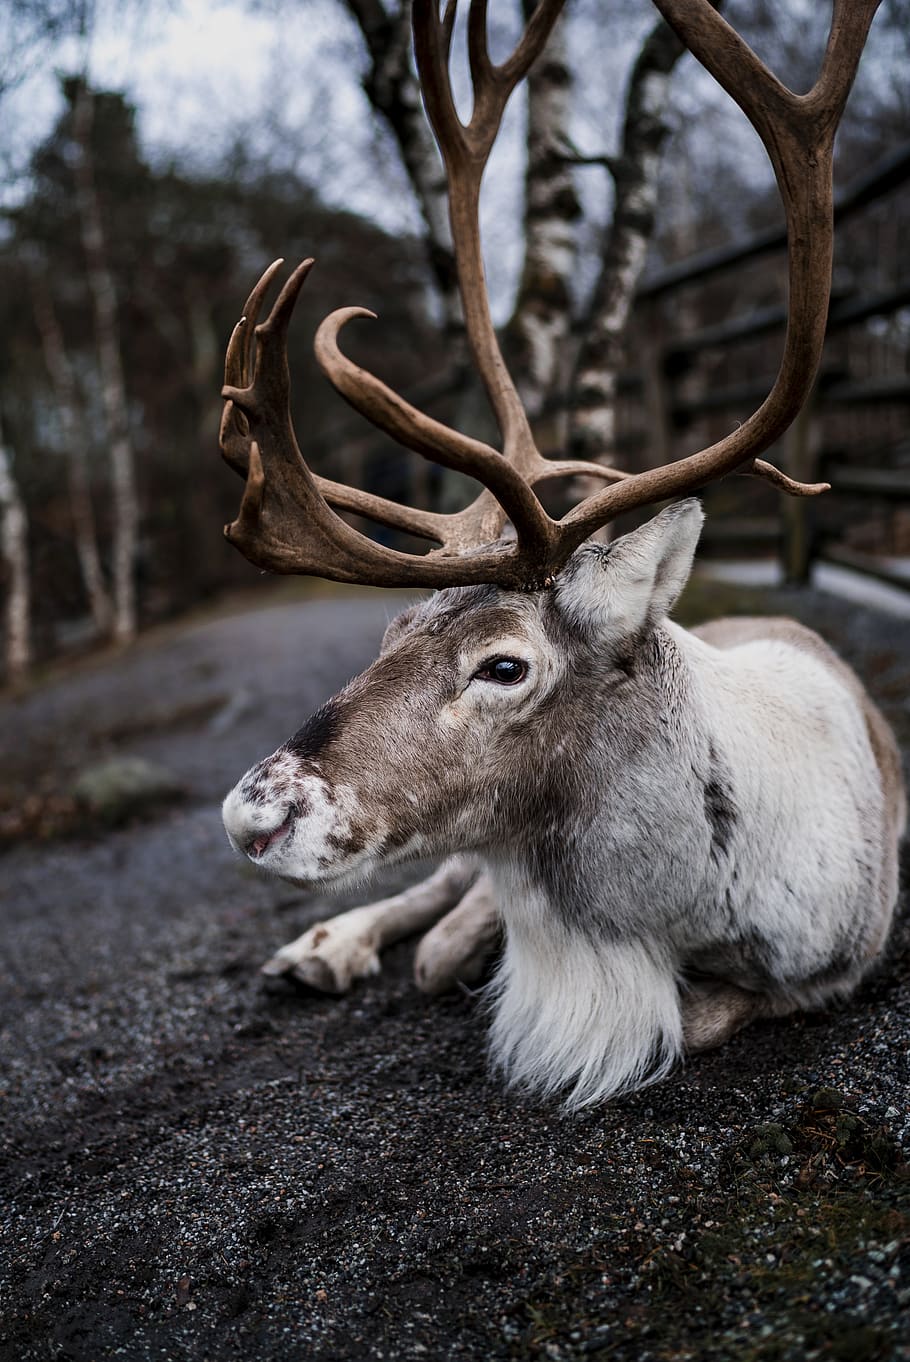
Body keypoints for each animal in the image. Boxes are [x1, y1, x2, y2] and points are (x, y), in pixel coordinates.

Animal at [219, 0, 904, 1108]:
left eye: (503, 666)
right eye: (390, 629)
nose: (254, 815)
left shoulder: (833, 964)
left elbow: (693, 1018)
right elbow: (452, 942)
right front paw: (432, 944)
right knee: (434, 890)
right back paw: (325, 946)